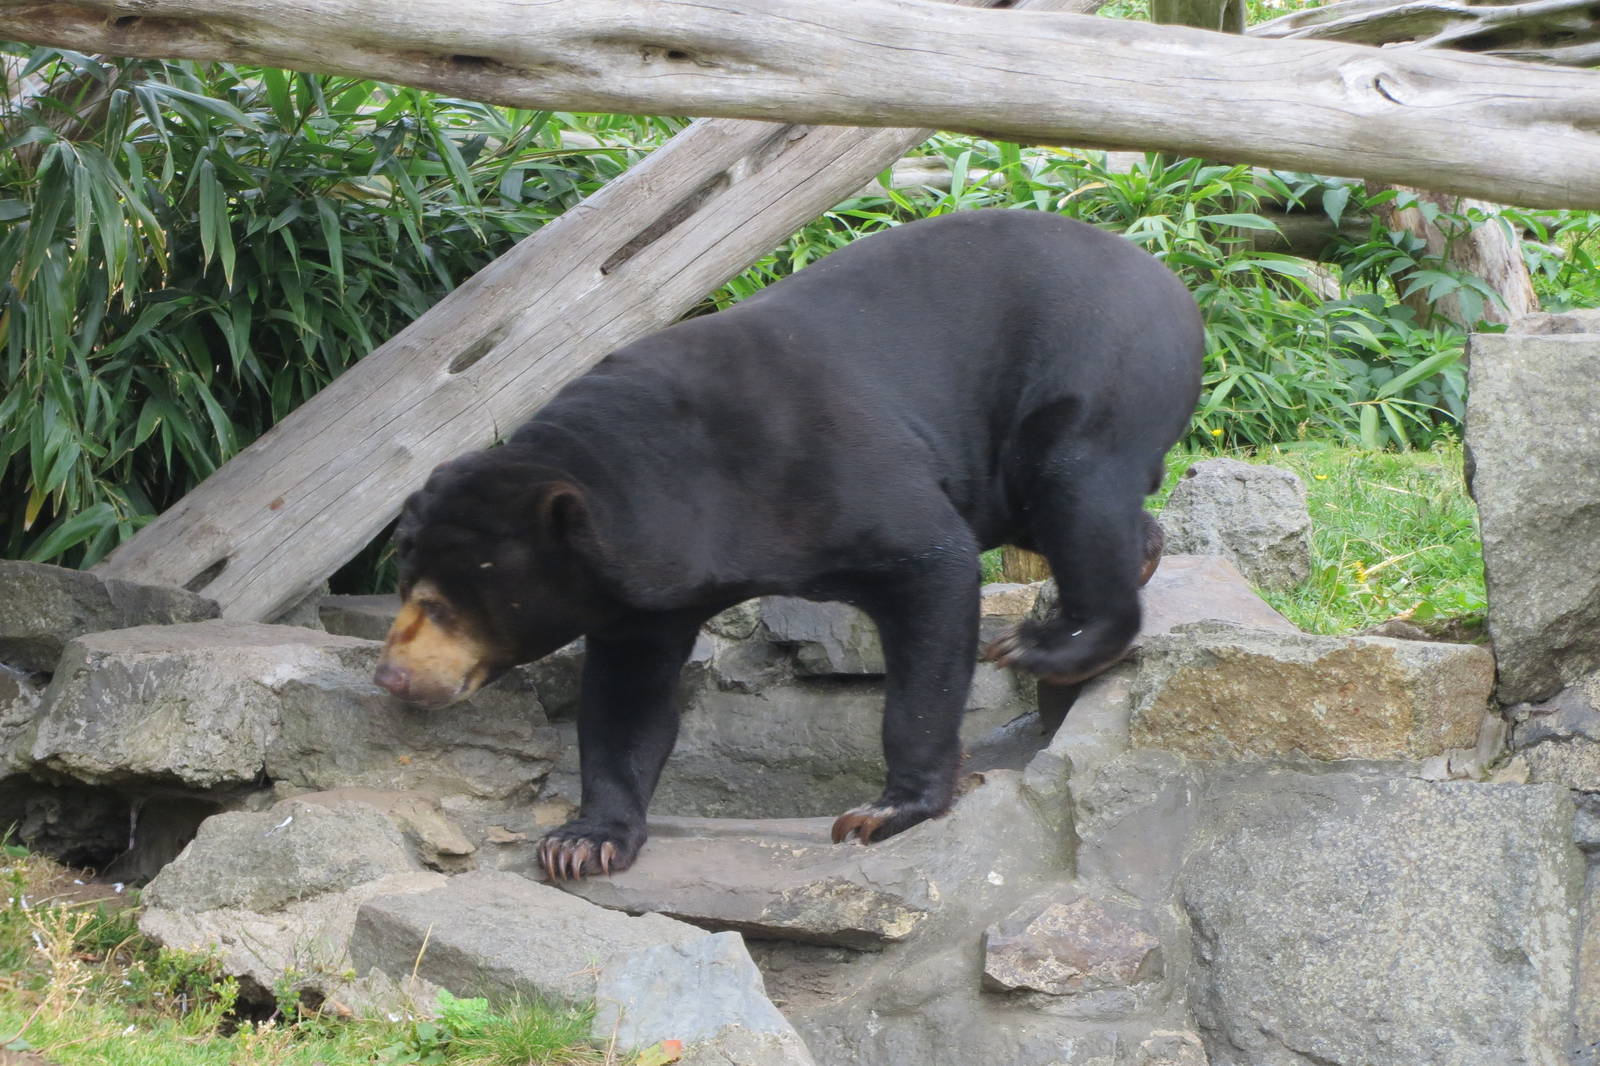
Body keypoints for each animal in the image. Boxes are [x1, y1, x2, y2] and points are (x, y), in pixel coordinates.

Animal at [373, 209, 1204, 880]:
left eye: (447, 602)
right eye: (406, 581)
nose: (392, 677)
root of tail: (1175, 282)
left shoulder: (827, 464)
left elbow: (933, 567)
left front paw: (885, 810)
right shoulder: (638, 596)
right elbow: (627, 701)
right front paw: (584, 842)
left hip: (1098, 369)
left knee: (1079, 484)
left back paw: (1055, 642)